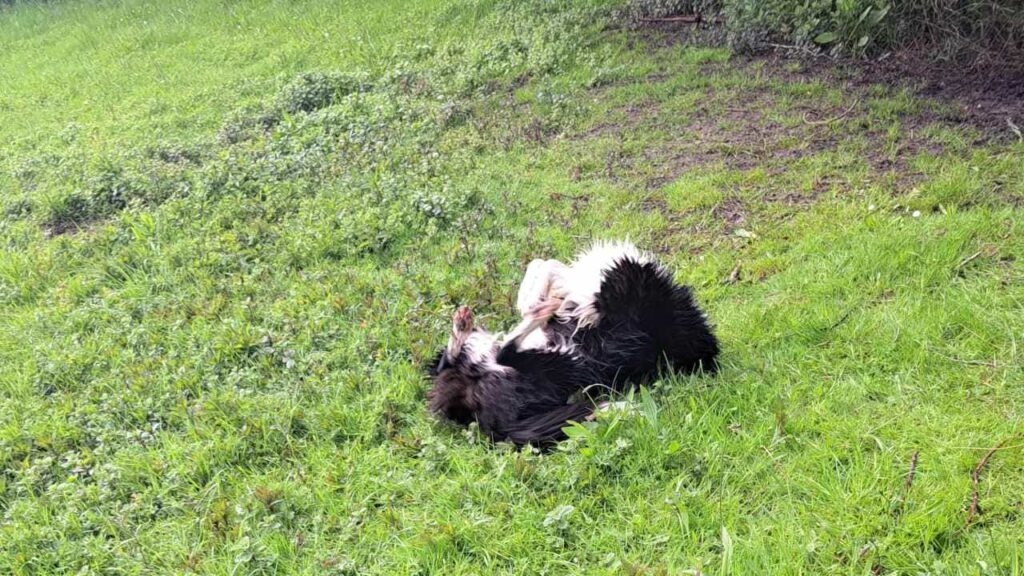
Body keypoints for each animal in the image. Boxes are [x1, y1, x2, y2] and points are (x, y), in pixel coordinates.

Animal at [423, 238, 720, 444]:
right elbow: (543, 263)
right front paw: (534, 299)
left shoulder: (606, 294)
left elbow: (553, 271)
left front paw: (538, 302)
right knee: (452, 359)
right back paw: (468, 326)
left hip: (557, 362)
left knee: (504, 352)